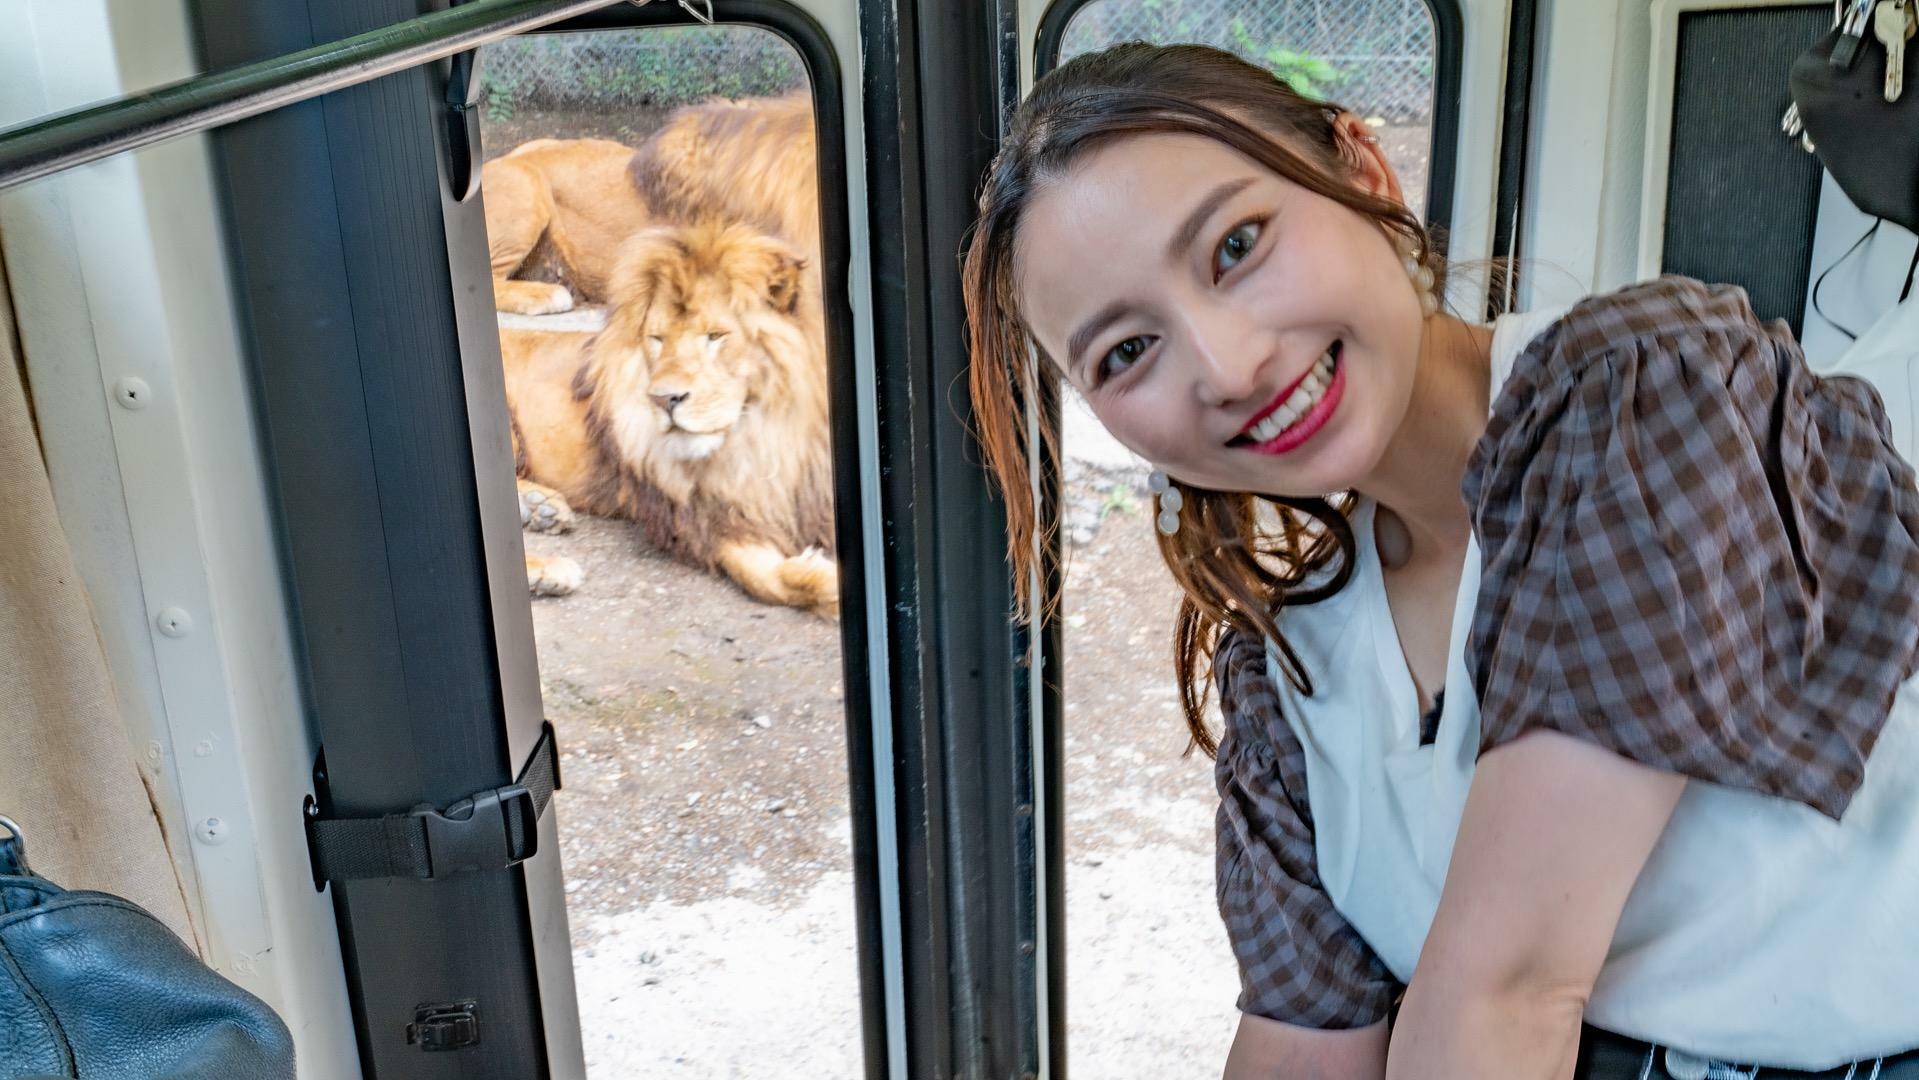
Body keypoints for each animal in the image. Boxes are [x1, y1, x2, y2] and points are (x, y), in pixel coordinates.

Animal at [502, 219, 840, 617]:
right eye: (657, 339)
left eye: (715, 336)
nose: (665, 399)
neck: (761, 430)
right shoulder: (708, 520)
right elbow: (766, 579)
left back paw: (540, 509)